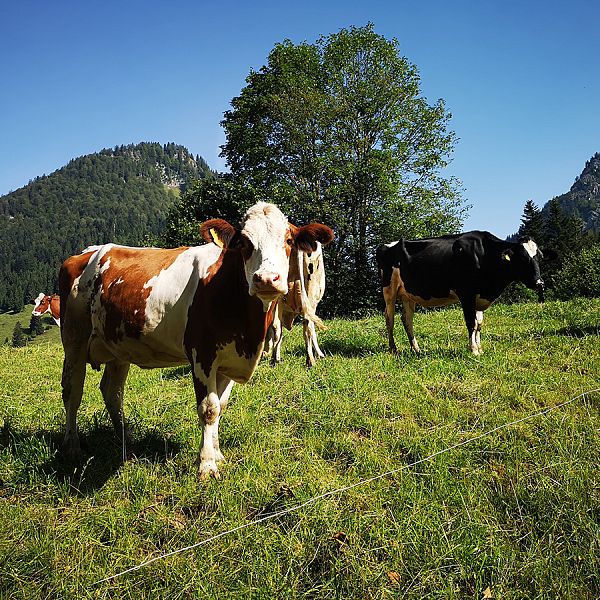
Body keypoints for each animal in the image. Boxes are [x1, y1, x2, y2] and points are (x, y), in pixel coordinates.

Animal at [59, 202, 332, 478]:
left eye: (288, 240)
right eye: (244, 242)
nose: (266, 279)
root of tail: (86, 252)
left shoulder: (228, 360)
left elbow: (221, 405)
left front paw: (218, 454)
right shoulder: (203, 355)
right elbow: (209, 409)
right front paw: (206, 465)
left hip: (119, 345)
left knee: (112, 391)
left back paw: (126, 439)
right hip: (74, 338)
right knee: (72, 390)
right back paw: (72, 446)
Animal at [378, 232, 548, 356]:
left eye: (539, 257)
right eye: (522, 258)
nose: (539, 283)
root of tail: (387, 245)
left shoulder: (479, 296)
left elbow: (479, 324)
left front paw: (480, 348)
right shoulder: (467, 294)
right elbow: (471, 323)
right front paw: (473, 350)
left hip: (408, 294)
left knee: (407, 319)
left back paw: (416, 349)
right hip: (389, 290)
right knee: (389, 318)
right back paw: (393, 349)